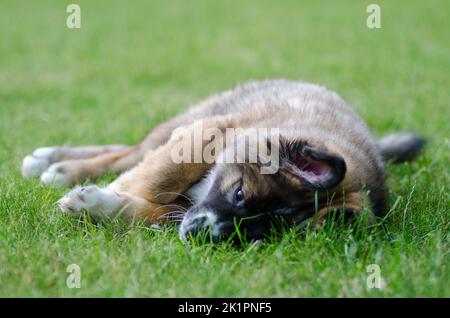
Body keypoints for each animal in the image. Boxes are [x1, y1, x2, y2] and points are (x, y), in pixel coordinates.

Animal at [22, 79, 426, 241]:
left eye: (260, 235)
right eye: (239, 194)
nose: (196, 236)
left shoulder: (182, 209)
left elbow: (152, 209)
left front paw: (102, 204)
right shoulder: (210, 132)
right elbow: (156, 179)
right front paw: (101, 194)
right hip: (194, 117)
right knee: (129, 153)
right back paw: (56, 165)